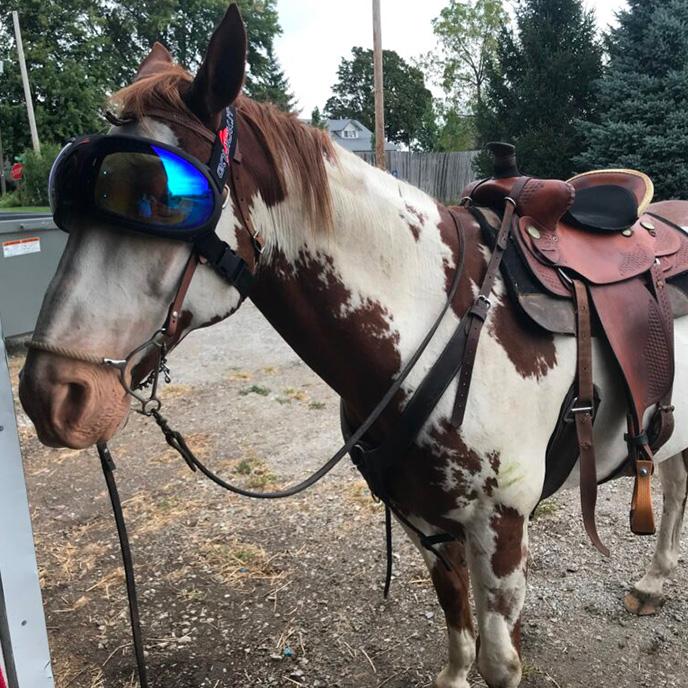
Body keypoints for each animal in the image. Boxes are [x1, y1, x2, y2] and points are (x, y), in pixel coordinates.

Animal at [14, 5, 688, 688]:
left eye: (165, 198)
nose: (52, 395)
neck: (437, 328)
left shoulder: (500, 529)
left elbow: (499, 658)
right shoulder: (424, 520)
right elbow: (455, 620)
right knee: (675, 482)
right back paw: (654, 583)